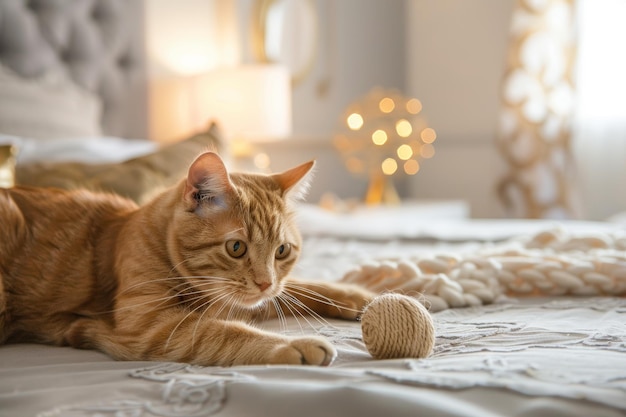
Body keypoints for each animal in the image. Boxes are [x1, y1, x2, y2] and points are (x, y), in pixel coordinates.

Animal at [0, 152, 370, 364]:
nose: (265, 283)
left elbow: (300, 289)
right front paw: (295, 346)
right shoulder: (151, 326)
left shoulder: (247, 299)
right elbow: (225, 333)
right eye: (236, 248)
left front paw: (358, 296)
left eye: (282, 251)